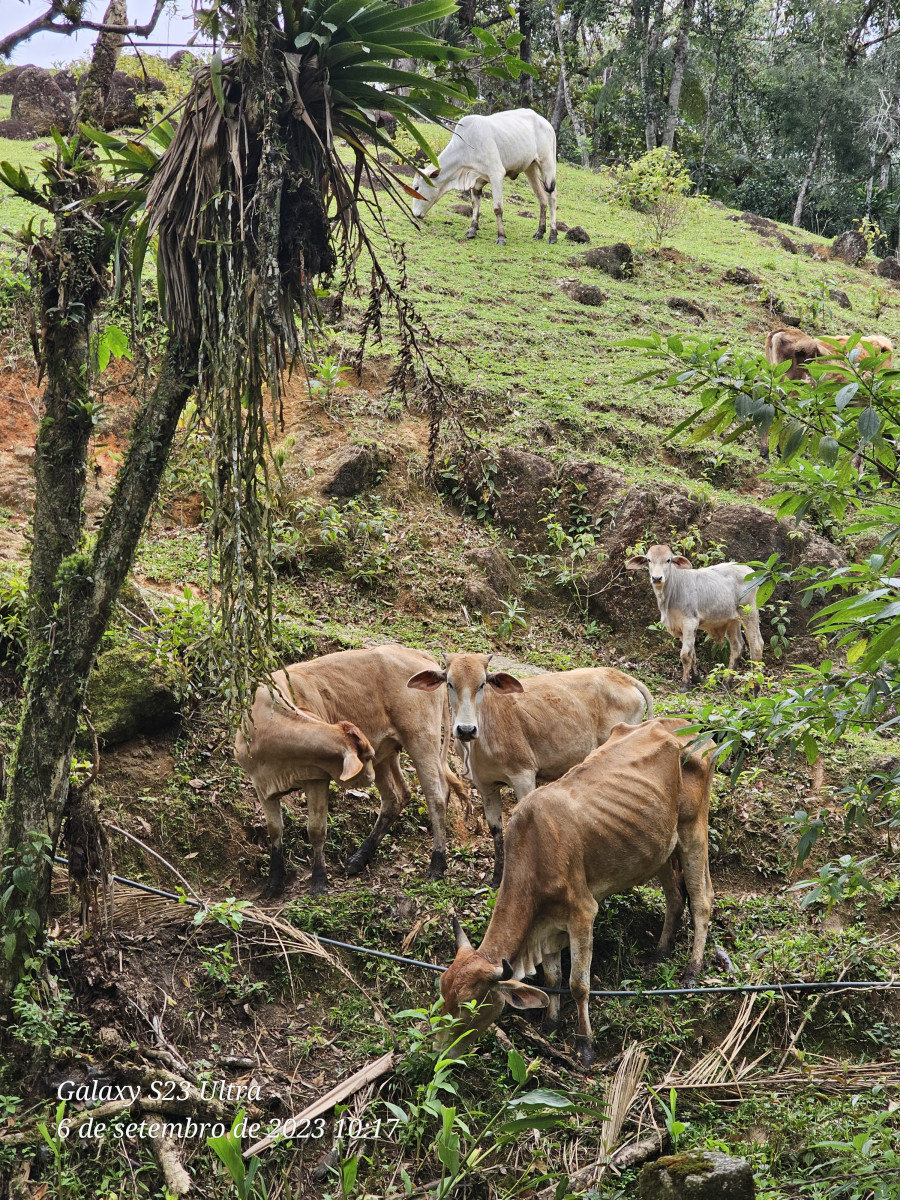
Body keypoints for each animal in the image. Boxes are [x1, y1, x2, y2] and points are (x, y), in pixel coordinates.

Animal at [234, 648, 465, 892]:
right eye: (367, 756)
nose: (369, 775)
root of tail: (418, 653)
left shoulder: (316, 779)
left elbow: (316, 830)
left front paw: (319, 881)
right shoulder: (261, 785)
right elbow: (274, 829)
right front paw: (274, 881)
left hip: (421, 739)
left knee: (436, 796)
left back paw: (437, 864)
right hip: (388, 751)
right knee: (396, 796)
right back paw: (360, 858)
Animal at [408, 652, 657, 888]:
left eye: (482, 684)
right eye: (450, 683)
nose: (466, 729)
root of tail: (624, 677)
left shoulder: (524, 776)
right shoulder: (486, 786)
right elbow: (496, 830)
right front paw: (497, 878)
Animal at [415, 108, 556, 246]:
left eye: (416, 188)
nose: (415, 214)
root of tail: (546, 123)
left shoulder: (496, 174)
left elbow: (497, 208)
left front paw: (501, 237)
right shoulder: (475, 178)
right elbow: (475, 204)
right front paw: (472, 229)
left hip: (547, 164)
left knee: (552, 197)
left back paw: (552, 235)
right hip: (530, 168)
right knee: (541, 197)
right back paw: (539, 232)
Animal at [441, 715, 715, 1065]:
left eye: (469, 1006)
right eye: (443, 995)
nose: (441, 1051)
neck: (534, 849)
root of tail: (685, 725)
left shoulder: (582, 914)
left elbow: (577, 984)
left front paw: (585, 1045)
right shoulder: (547, 927)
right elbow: (552, 979)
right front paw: (550, 1025)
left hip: (693, 828)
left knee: (702, 900)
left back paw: (691, 972)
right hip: (660, 848)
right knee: (675, 897)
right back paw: (659, 953)